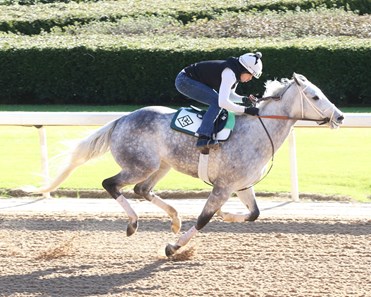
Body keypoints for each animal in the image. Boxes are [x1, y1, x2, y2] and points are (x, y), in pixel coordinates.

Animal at [29, 72, 346, 254]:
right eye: (315, 96)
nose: (341, 116)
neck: (258, 129)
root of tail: (122, 119)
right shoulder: (223, 186)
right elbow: (204, 219)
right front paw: (174, 247)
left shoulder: (242, 185)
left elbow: (254, 213)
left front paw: (227, 215)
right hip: (139, 165)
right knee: (111, 184)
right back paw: (133, 223)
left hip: (162, 166)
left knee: (142, 190)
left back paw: (174, 219)